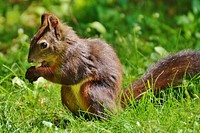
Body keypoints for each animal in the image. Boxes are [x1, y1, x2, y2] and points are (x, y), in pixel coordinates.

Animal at [25, 13, 200, 117]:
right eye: (32, 39)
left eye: (43, 44)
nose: (29, 59)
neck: (64, 48)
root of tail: (117, 106)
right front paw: (31, 72)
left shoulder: (76, 61)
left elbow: (65, 75)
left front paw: (36, 72)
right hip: (67, 93)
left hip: (93, 91)